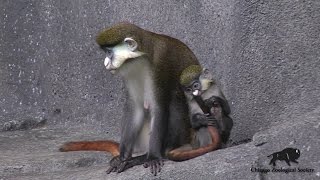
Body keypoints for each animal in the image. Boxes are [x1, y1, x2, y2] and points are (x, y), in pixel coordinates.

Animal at [59, 22, 219, 176]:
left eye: (109, 52)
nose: (105, 63)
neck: (139, 59)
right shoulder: (129, 72)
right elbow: (135, 107)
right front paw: (122, 158)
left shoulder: (159, 65)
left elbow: (158, 107)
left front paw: (153, 157)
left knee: (174, 97)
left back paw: (154, 154)